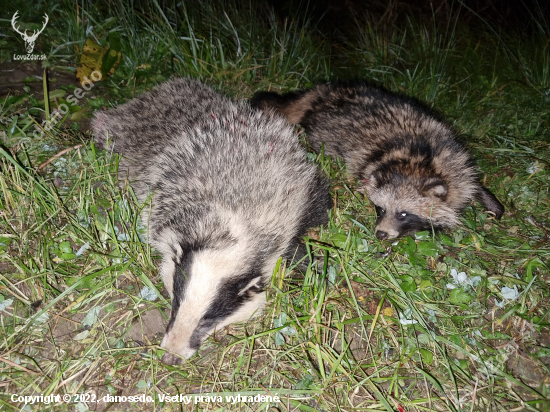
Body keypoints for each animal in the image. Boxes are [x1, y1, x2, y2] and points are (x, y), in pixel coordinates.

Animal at [92, 79, 330, 364]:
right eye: (175, 305)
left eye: (207, 321)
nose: (171, 356)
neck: (232, 224)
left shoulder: (297, 198)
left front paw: (312, 265)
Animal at [252, 83, 506, 238]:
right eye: (381, 209)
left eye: (403, 214)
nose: (380, 234)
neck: (418, 162)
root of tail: (324, 91)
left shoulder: (454, 156)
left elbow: (471, 181)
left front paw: (489, 200)